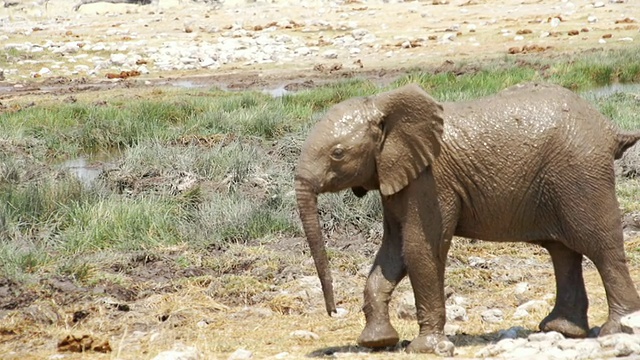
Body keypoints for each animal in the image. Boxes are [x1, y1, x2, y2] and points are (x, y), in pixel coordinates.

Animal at [296, 82, 640, 354]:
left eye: (338, 154)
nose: (333, 311)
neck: (385, 103)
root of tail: (608, 127)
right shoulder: (396, 179)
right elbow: (393, 252)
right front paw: (376, 342)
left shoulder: (431, 182)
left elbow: (420, 249)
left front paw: (427, 349)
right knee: (563, 252)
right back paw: (562, 330)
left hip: (581, 174)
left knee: (600, 247)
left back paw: (617, 330)